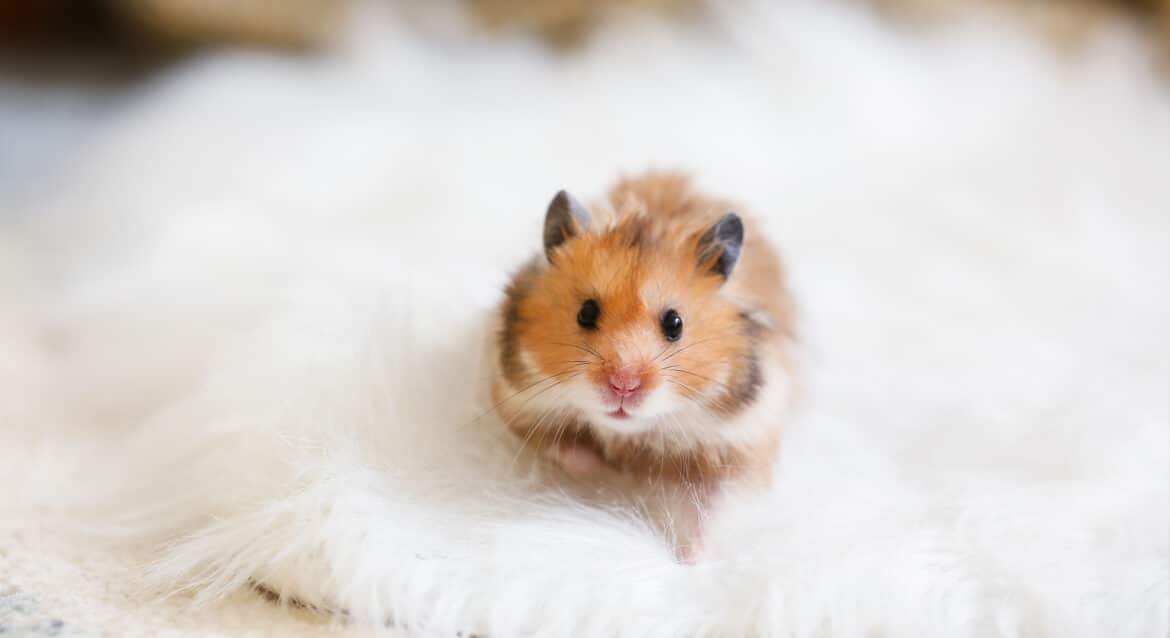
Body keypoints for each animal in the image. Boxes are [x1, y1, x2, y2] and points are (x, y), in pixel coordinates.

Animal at [492, 172, 795, 556]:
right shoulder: (516, 403)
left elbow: (711, 511)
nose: (623, 385)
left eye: (674, 323)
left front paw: (689, 558)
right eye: (586, 313)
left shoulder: (744, 443)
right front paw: (603, 470)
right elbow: (564, 447)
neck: (631, 433)